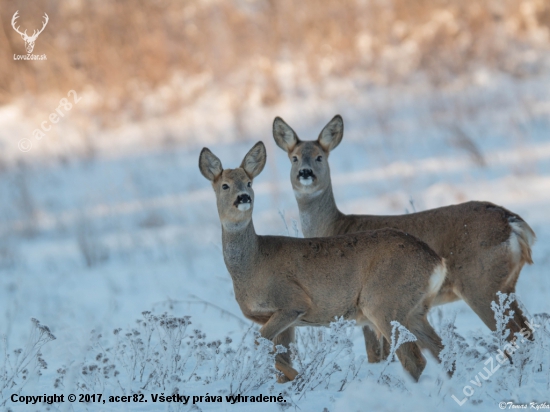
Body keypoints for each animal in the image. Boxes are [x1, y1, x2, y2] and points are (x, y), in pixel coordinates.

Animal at [201, 142, 450, 384]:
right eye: (225, 185)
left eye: (249, 182)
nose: (244, 197)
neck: (253, 264)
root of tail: (437, 261)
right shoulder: (281, 319)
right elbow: (279, 357)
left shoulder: (293, 301)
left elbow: (260, 344)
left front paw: (301, 378)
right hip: (414, 309)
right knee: (441, 351)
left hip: (384, 302)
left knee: (414, 360)